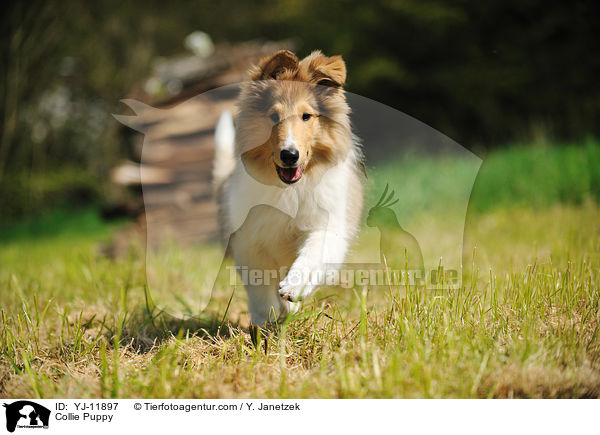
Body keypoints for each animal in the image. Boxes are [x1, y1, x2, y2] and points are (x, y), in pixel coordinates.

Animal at [216, 49, 366, 326]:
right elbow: (259, 287)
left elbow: (313, 252)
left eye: (306, 116)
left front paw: (294, 287)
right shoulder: (248, 241)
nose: (289, 155)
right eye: (274, 116)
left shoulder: (327, 224)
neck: (289, 189)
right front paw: (266, 319)